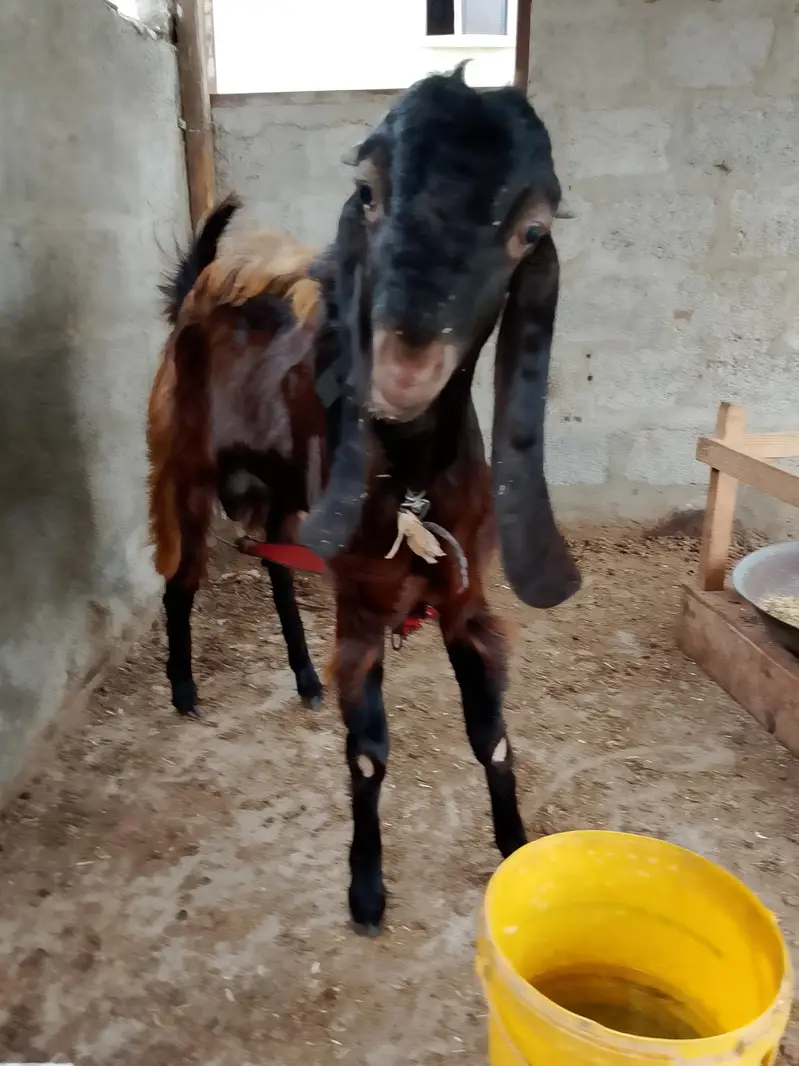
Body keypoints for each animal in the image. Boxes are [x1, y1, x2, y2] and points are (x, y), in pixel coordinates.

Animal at [147, 66, 581, 934]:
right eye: (368, 192)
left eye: (530, 228)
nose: (402, 365)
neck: (410, 487)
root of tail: (197, 291)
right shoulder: (363, 605)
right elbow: (369, 752)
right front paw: (367, 890)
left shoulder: (464, 599)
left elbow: (492, 737)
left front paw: (514, 846)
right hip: (186, 471)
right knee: (181, 582)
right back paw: (183, 688)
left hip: (285, 494)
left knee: (275, 567)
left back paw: (303, 678)